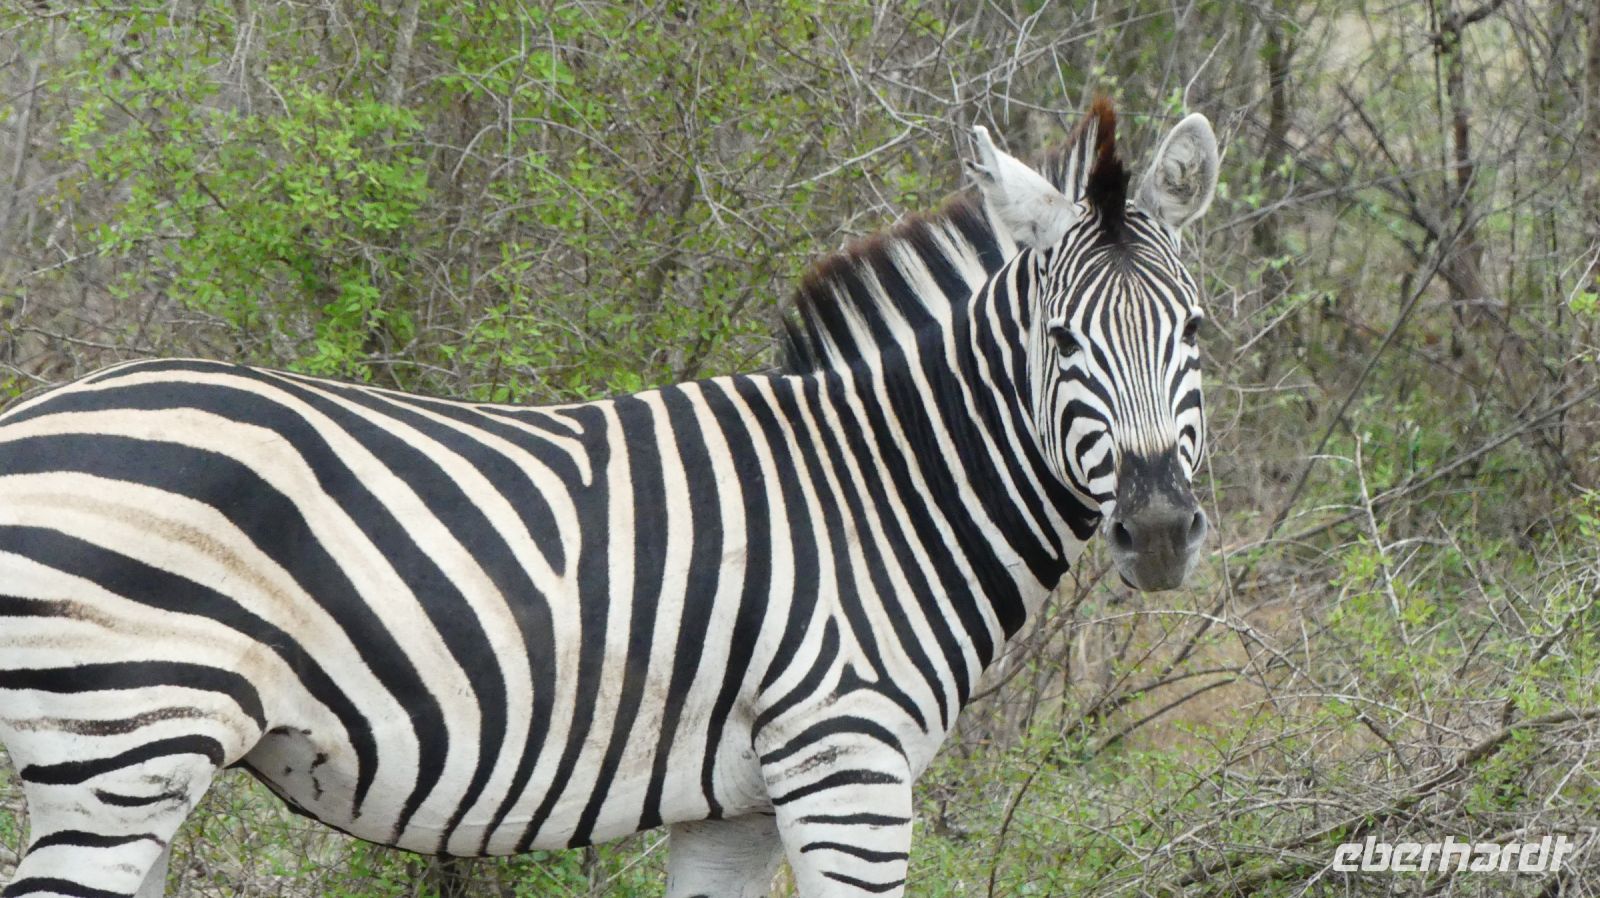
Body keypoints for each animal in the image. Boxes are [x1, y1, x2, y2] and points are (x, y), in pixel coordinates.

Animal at [0, 98, 1218, 898]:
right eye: (1058, 340)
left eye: (1196, 330)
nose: (1158, 533)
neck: (881, 489)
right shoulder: (846, 763)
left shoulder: (736, 804)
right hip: (120, 750)